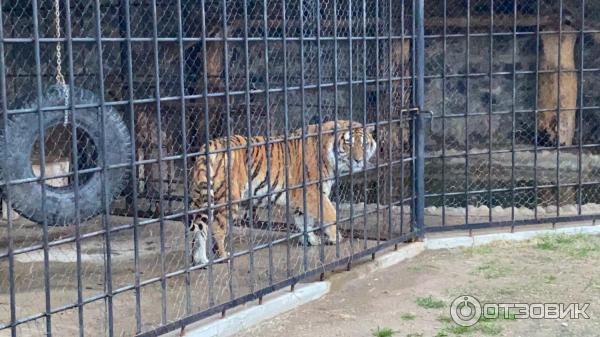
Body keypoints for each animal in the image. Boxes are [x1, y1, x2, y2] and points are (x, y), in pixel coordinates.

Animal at [189, 119, 376, 264]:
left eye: (363, 144)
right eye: (349, 143)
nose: (358, 160)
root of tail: (208, 147)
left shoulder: (301, 197)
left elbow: (304, 221)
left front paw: (311, 240)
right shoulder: (313, 192)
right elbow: (331, 214)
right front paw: (335, 237)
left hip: (201, 200)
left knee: (199, 229)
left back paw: (201, 260)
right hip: (228, 199)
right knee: (217, 229)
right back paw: (223, 256)